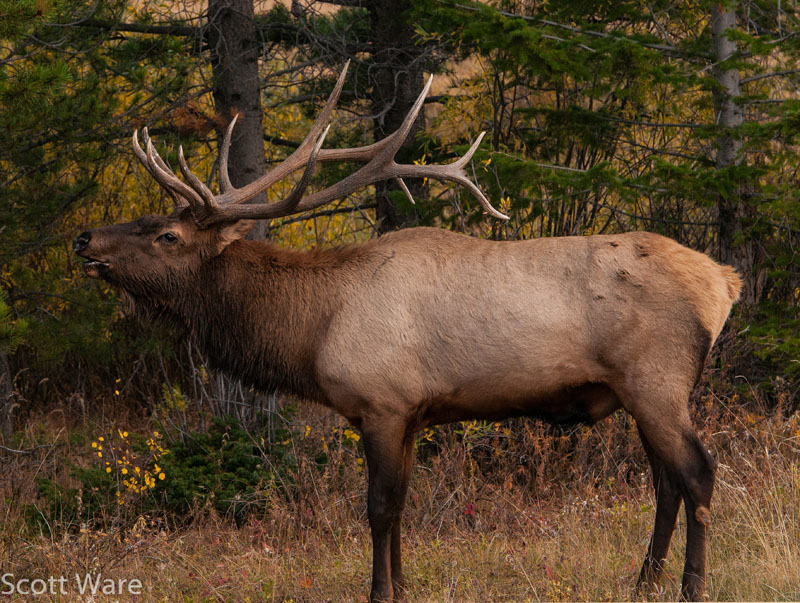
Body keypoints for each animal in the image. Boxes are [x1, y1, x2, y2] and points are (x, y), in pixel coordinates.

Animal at [73, 63, 741, 602]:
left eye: (168, 235)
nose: (84, 238)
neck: (312, 331)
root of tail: (725, 283)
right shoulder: (415, 414)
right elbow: (401, 508)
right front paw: (402, 583)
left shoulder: (382, 402)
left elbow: (379, 507)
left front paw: (378, 591)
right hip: (639, 391)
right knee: (665, 483)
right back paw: (643, 581)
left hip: (656, 380)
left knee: (697, 473)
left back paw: (691, 586)